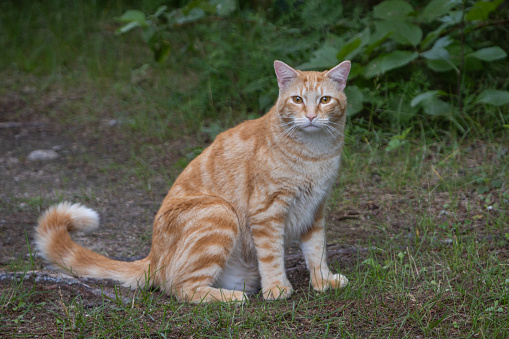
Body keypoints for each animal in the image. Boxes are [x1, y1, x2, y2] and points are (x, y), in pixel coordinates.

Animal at [34, 59, 350, 304]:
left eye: (324, 100)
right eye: (297, 100)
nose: (311, 116)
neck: (314, 154)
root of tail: (152, 255)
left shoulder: (315, 209)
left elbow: (317, 251)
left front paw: (323, 281)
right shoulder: (267, 211)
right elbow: (272, 255)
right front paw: (276, 288)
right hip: (220, 211)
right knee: (181, 288)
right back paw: (232, 298)